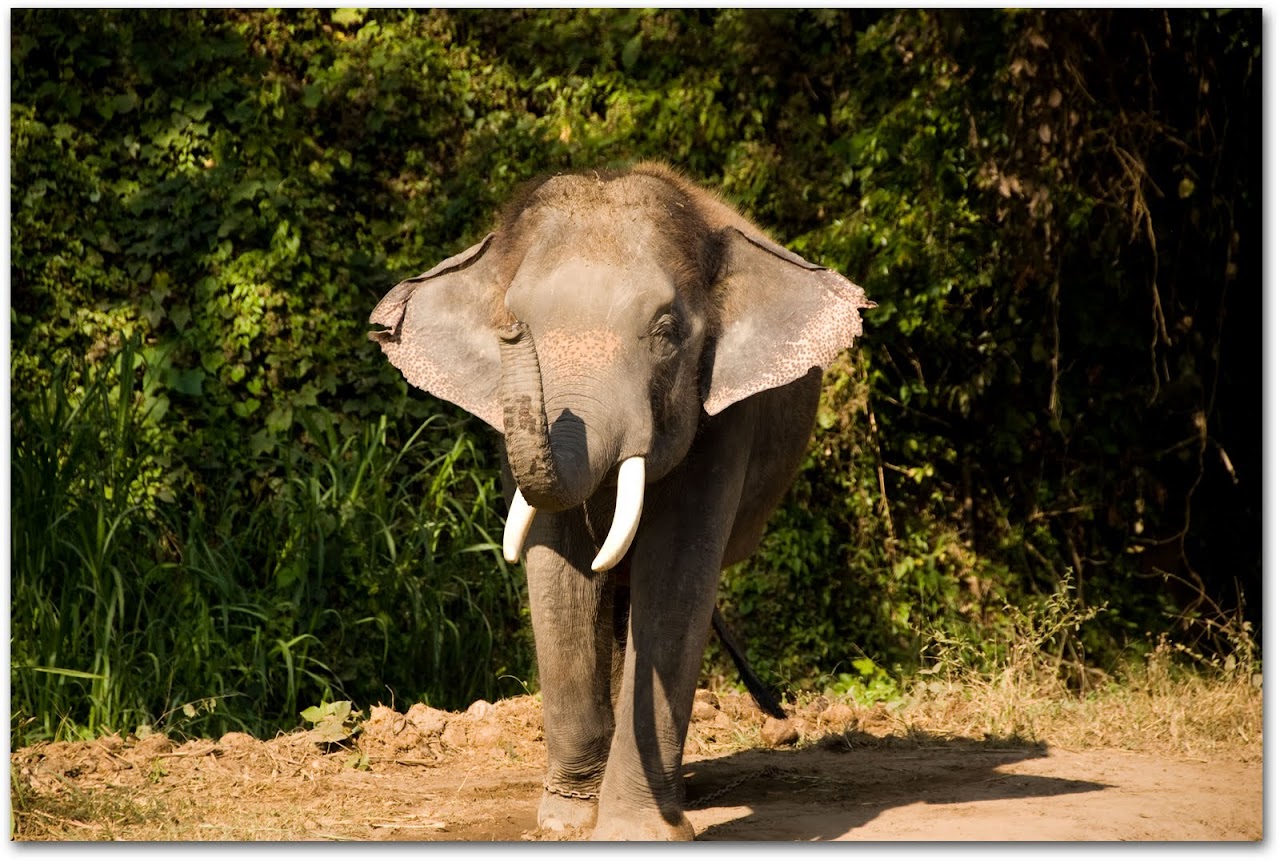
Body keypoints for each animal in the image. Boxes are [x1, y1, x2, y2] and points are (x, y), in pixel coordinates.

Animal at [368, 162, 870, 840]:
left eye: (666, 333)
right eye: (513, 319)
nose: (511, 332)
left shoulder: (721, 417)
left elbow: (677, 570)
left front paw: (638, 831)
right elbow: (558, 568)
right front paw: (566, 821)